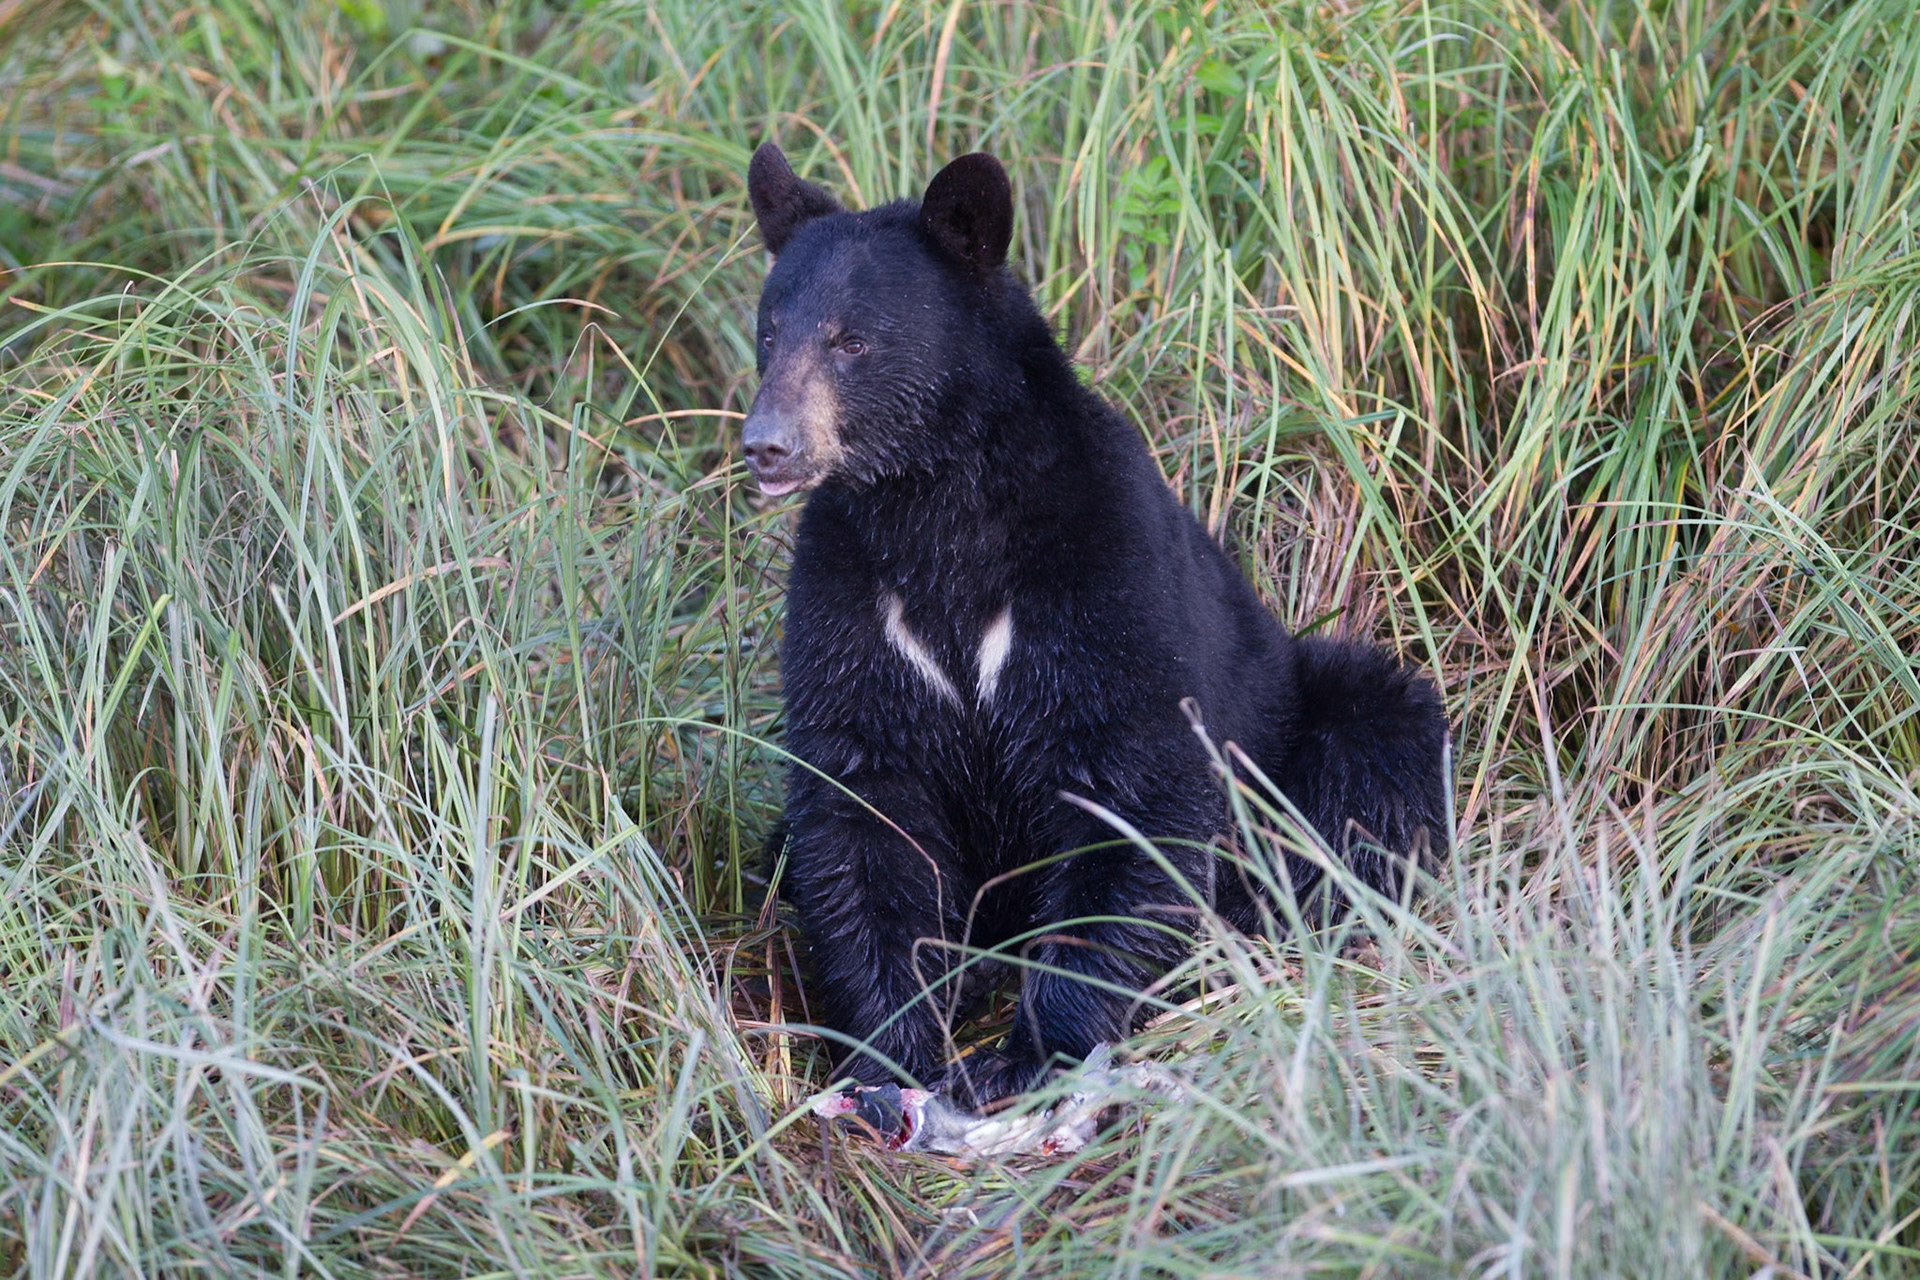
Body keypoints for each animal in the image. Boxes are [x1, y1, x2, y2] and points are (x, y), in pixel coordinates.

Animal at [743, 143, 1449, 1106]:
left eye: (853, 340)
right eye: (769, 332)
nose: (767, 444)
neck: (936, 509)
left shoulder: (1098, 575)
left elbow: (1130, 785)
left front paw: (1031, 1052)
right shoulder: (854, 597)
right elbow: (863, 803)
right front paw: (895, 1050)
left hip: (1317, 708)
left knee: (1371, 764)